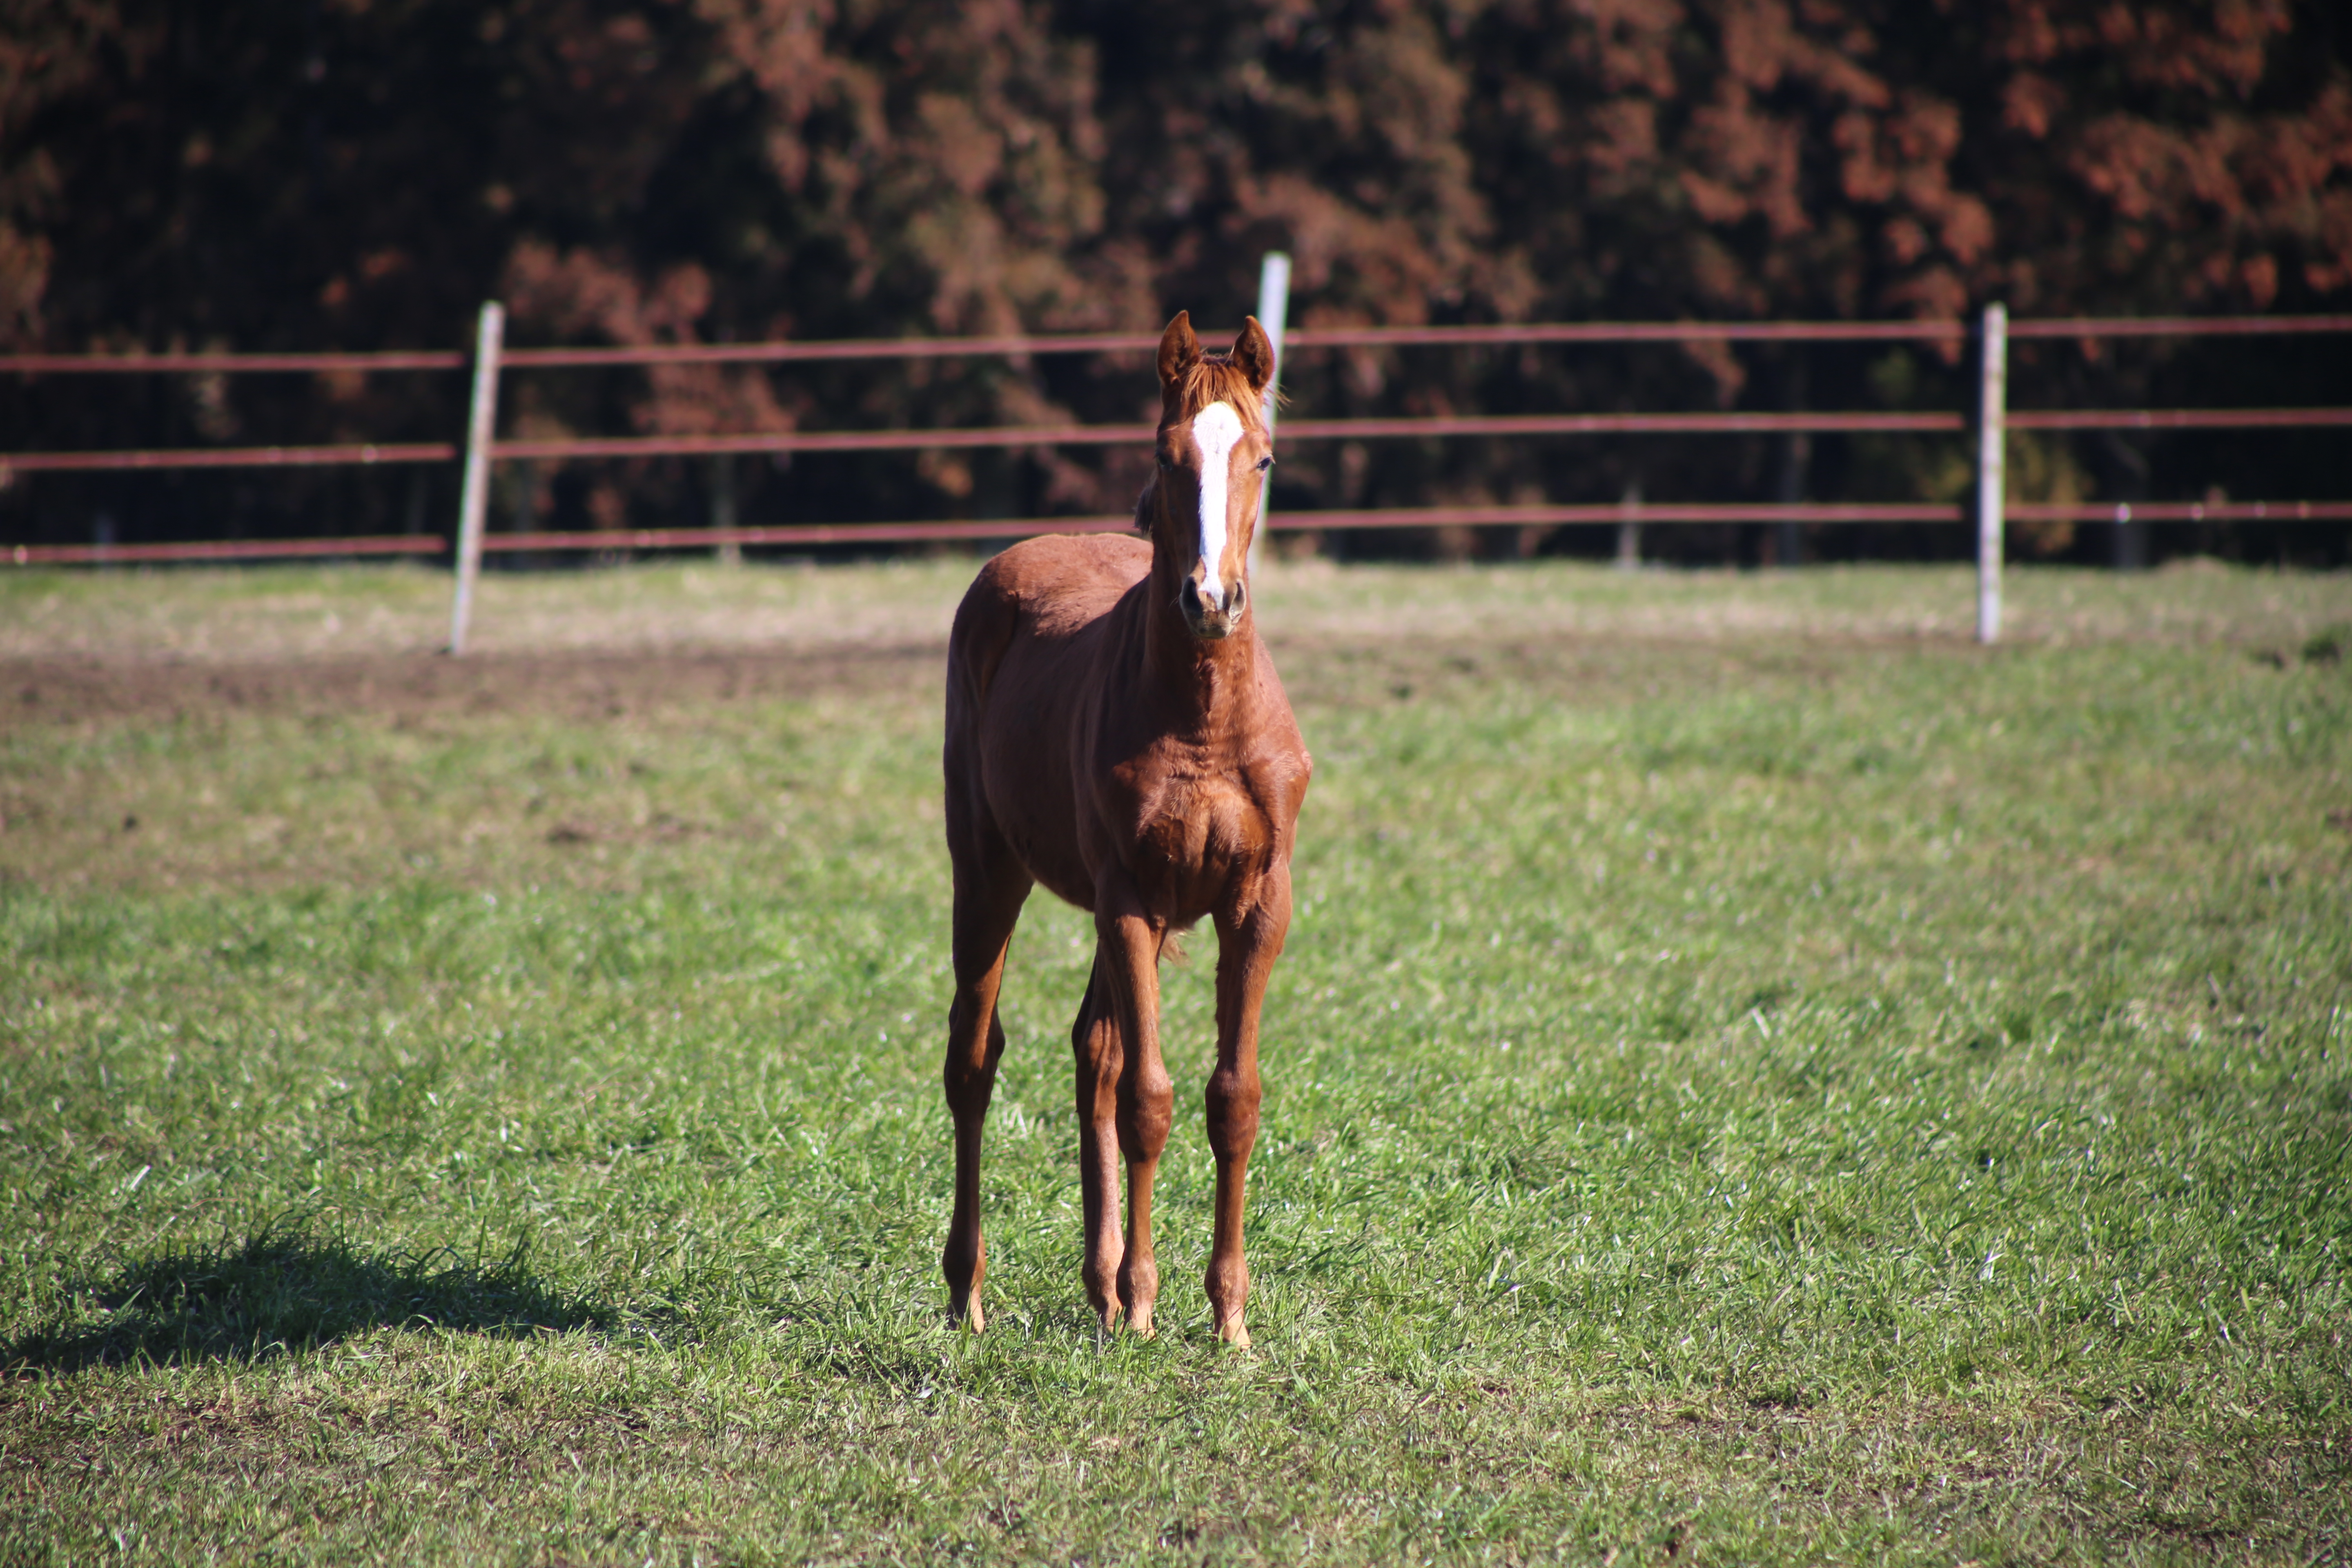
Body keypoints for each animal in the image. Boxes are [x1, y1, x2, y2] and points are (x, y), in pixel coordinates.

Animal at [931, 310, 1307, 1354]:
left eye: (1263, 457)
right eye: (1166, 455)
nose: (1209, 600)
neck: (1202, 720)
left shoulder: (1257, 903)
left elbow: (1231, 1099)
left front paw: (1227, 1319)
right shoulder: (1132, 899)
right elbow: (1150, 1099)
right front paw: (1145, 1306)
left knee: (1089, 1053)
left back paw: (1096, 1288)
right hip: (989, 871)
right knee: (973, 1061)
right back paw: (970, 1295)